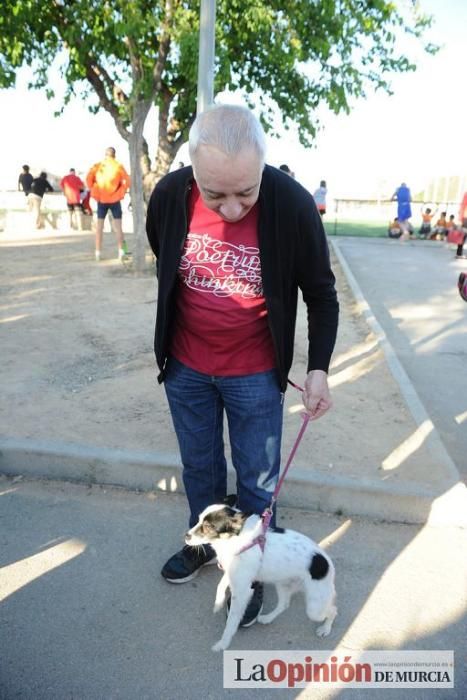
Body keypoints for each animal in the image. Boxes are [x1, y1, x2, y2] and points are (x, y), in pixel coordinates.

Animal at [186, 504, 336, 652]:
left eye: (208, 526)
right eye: (198, 520)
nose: (186, 536)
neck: (236, 538)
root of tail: (328, 563)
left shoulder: (242, 591)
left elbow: (231, 622)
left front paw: (223, 643)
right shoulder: (233, 573)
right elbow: (221, 584)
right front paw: (218, 603)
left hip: (315, 607)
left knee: (333, 611)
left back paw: (325, 629)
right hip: (282, 584)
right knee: (284, 604)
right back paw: (268, 618)